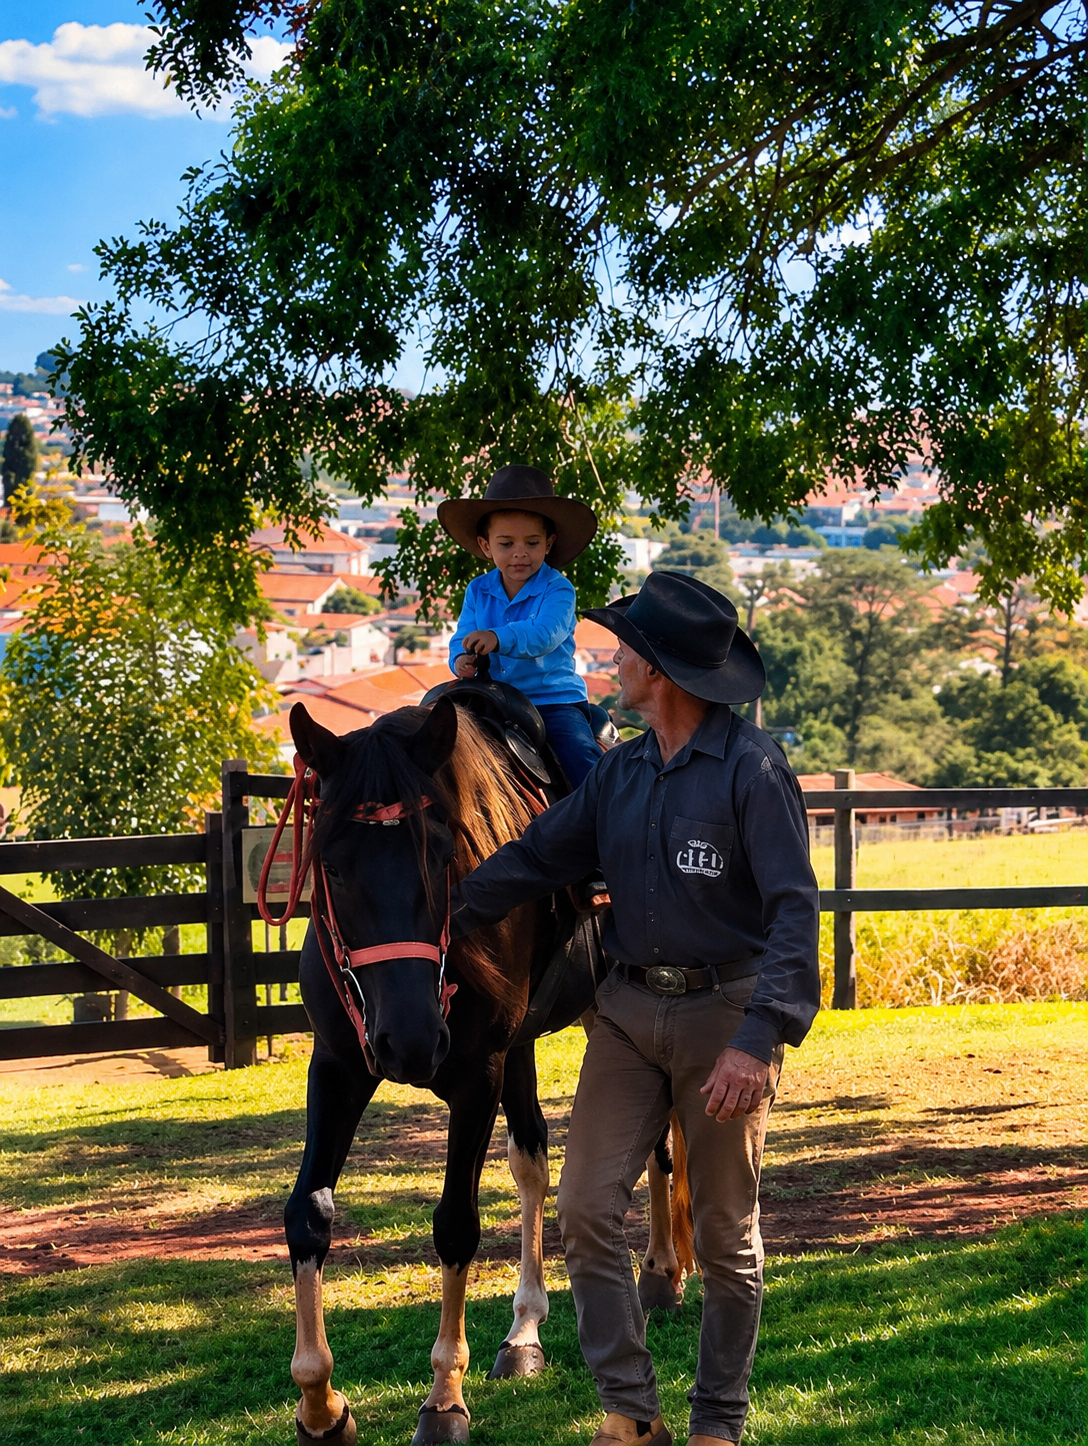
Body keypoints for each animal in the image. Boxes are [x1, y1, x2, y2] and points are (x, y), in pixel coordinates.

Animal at [269, 694, 692, 1446]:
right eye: (334, 866)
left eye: (441, 857)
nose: (408, 1040)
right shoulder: (340, 1064)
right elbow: (307, 1214)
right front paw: (320, 1404)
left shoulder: (474, 1076)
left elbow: (456, 1225)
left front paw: (443, 1399)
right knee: (533, 1160)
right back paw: (524, 1331)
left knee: (661, 1149)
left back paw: (663, 1276)